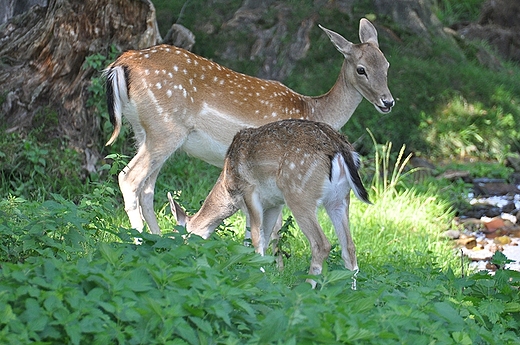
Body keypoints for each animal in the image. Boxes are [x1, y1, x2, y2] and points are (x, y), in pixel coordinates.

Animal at [103, 17, 392, 235]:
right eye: (361, 69)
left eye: (387, 64)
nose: (388, 102)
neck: (312, 108)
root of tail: (122, 63)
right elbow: (272, 226)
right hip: (165, 130)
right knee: (129, 178)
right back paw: (139, 240)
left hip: (145, 132)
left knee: (147, 188)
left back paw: (158, 240)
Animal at [170, 119, 370, 288]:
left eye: (176, 235)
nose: (176, 259)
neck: (228, 187)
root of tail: (340, 148)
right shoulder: (274, 203)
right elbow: (263, 238)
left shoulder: (250, 191)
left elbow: (256, 238)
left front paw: (260, 274)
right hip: (340, 199)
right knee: (349, 247)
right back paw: (352, 292)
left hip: (299, 194)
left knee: (321, 244)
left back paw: (308, 288)